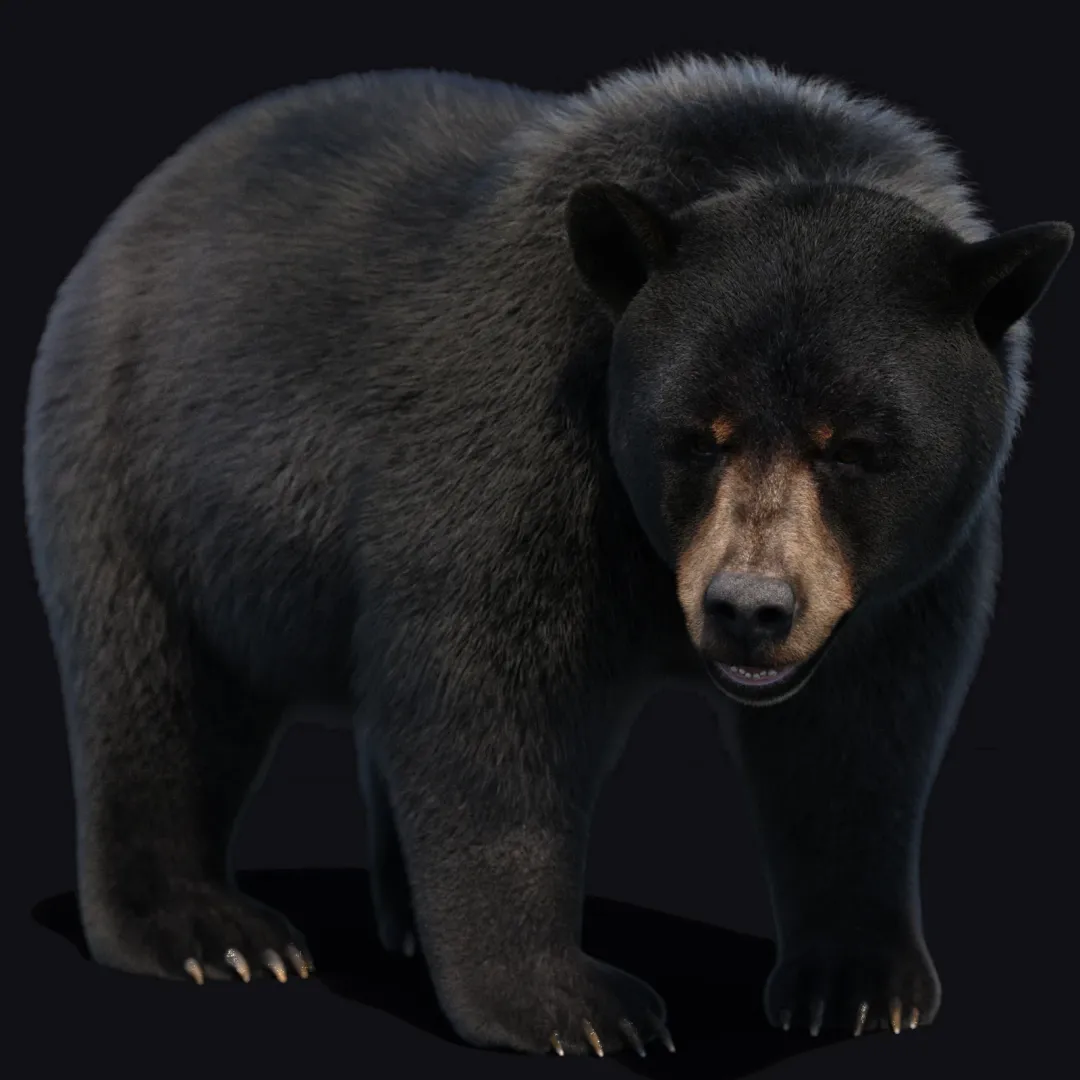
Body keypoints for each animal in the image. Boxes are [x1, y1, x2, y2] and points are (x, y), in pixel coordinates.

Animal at [23, 53, 1072, 1058]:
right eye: (696, 436)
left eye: (852, 448)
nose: (749, 607)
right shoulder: (523, 421)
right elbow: (489, 696)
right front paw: (574, 1006)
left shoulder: (920, 569)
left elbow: (862, 733)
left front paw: (856, 985)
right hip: (136, 465)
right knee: (157, 687)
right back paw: (210, 933)